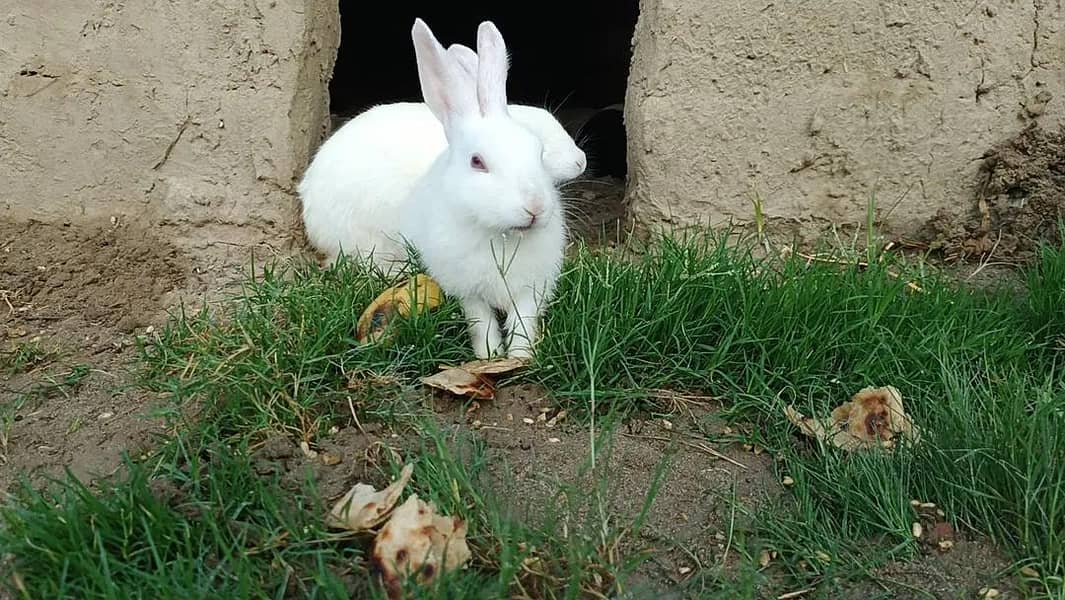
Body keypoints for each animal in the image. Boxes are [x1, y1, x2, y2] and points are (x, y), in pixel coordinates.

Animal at [397, 18, 566, 360]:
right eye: (477, 161)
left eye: (538, 151)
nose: (535, 206)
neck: (501, 234)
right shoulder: (468, 291)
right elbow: (481, 322)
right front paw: (489, 356)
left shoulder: (529, 289)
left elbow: (523, 321)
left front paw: (520, 356)